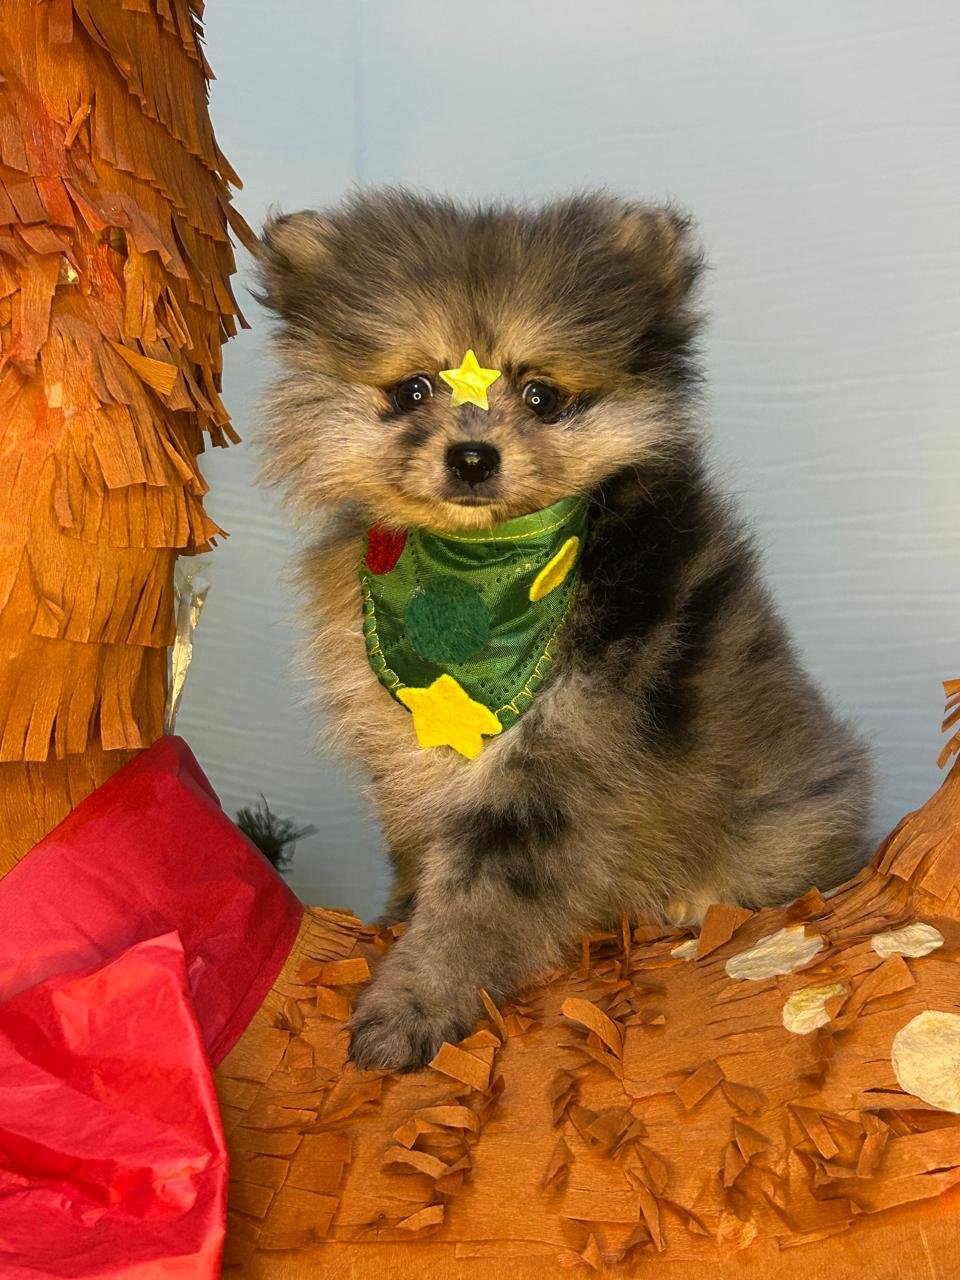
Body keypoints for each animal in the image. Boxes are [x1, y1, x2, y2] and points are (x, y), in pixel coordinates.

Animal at [256, 189, 871, 1072]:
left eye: (541, 395)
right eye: (412, 391)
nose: (472, 455)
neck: (472, 580)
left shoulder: (553, 763)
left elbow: (476, 899)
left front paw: (411, 1003)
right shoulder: (405, 752)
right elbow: (417, 850)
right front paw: (399, 913)